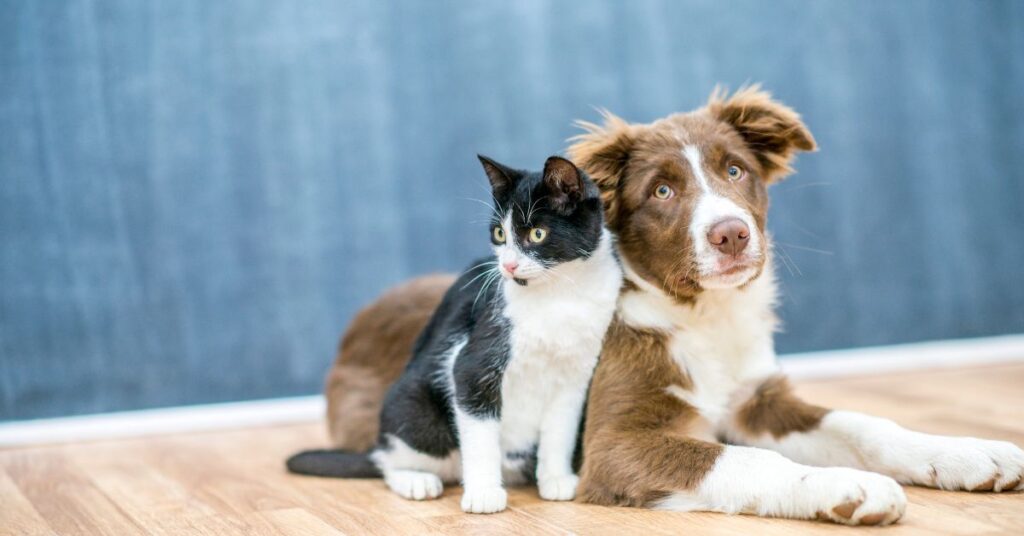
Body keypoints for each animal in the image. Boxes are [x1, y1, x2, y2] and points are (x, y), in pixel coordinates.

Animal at [288, 155, 622, 516]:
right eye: (500, 233)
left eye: (537, 233)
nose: (508, 266)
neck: (559, 295)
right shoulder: (472, 364)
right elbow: (480, 433)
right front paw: (484, 494)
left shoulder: (575, 376)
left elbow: (561, 430)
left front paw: (556, 479)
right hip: (417, 412)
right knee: (388, 459)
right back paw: (415, 480)